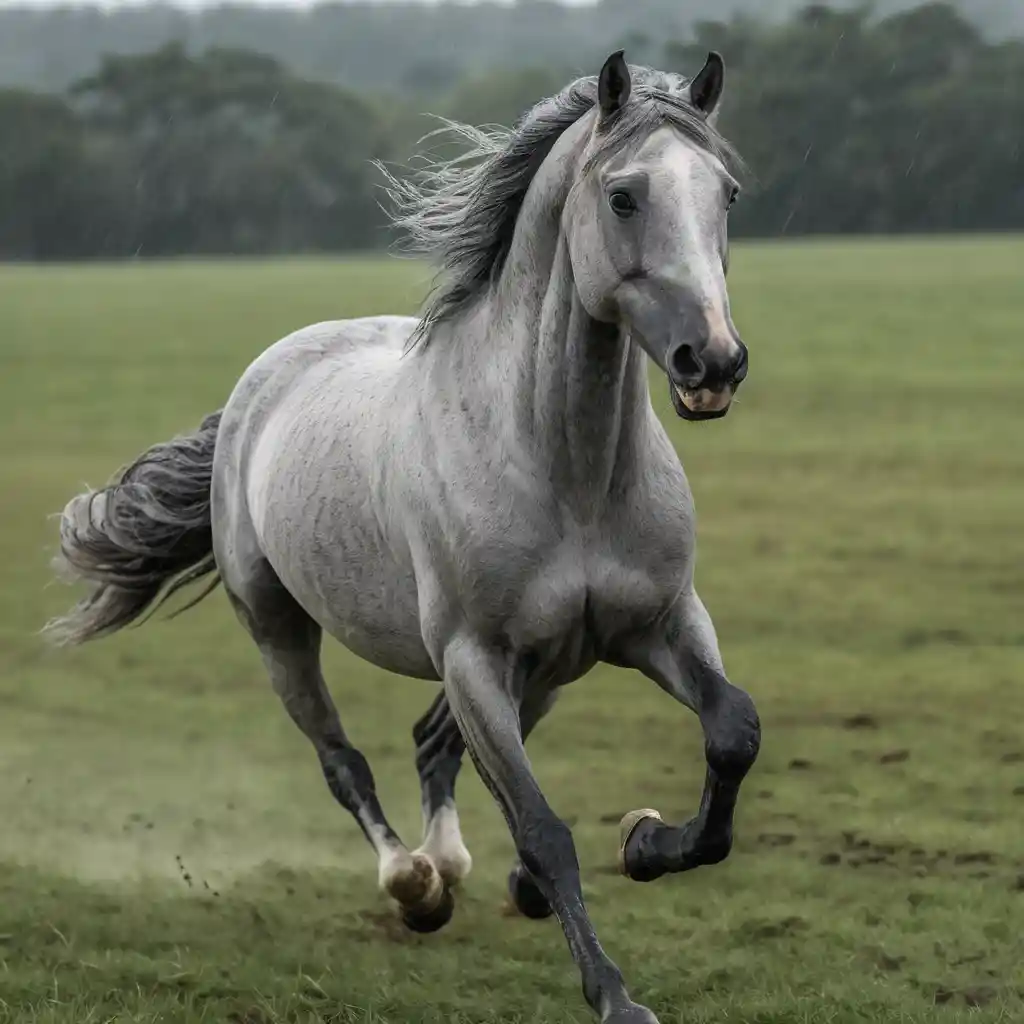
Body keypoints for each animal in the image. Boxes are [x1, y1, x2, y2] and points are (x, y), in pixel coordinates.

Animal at [47, 51, 761, 1024]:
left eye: (726, 192)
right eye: (623, 196)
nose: (713, 361)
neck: (564, 469)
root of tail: (257, 385)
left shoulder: (661, 625)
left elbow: (732, 733)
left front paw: (645, 841)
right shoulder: (473, 657)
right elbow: (544, 827)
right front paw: (616, 995)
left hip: (549, 668)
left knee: (435, 745)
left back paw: (462, 868)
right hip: (282, 629)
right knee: (345, 762)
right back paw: (415, 882)